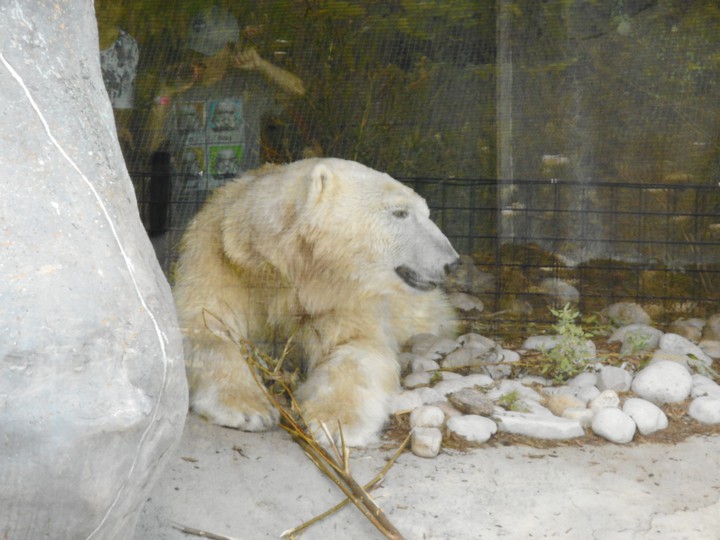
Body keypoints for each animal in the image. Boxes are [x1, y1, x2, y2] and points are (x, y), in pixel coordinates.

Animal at [173, 157, 460, 446]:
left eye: (427, 212)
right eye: (399, 212)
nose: (452, 262)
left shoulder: (340, 297)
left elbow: (357, 348)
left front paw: (333, 422)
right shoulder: (219, 261)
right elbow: (205, 331)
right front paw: (248, 409)